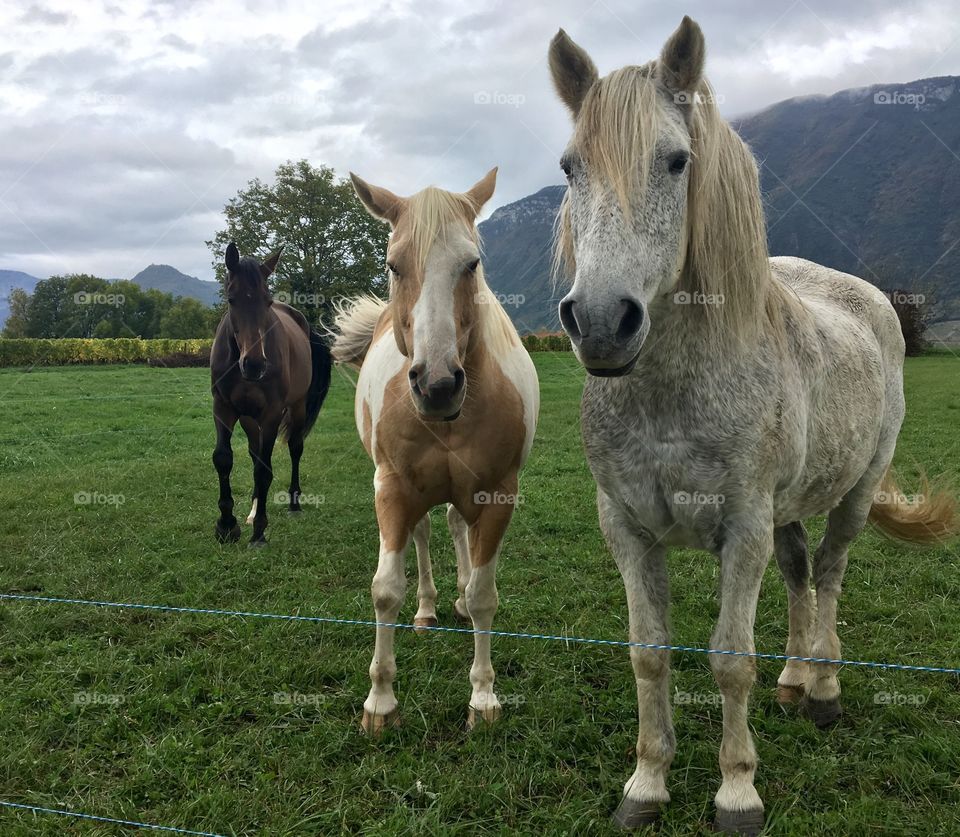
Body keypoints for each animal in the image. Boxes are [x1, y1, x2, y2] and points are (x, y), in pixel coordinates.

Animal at [210, 242, 332, 546]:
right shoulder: (223, 408)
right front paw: (226, 525)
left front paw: (259, 532)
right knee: (255, 454)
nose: (254, 364)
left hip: (296, 408)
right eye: (231, 299)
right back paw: (253, 511)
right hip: (249, 419)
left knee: (295, 449)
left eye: (266, 301)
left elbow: (264, 469)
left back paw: (294, 504)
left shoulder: (272, 414)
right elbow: (224, 459)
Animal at [331, 168, 539, 734]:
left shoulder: (497, 496)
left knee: (456, 529)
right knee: (425, 533)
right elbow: (385, 590)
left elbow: (486, 595)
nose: (439, 385)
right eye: (393, 264)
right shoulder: (392, 490)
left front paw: (483, 698)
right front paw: (380, 703)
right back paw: (426, 610)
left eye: (472, 264)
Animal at [548, 17, 957, 835]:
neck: (671, 396)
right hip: (787, 510)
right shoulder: (627, 529)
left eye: (676, 160)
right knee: (799, 575)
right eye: (570, 167)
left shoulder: (742, 529)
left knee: (828, 574)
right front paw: (647, 782)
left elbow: (730, 658)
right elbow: (649, 653)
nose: (602, 322)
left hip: (854, 492)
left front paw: (737, 791)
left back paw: (824, 691)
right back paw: (795, 680)